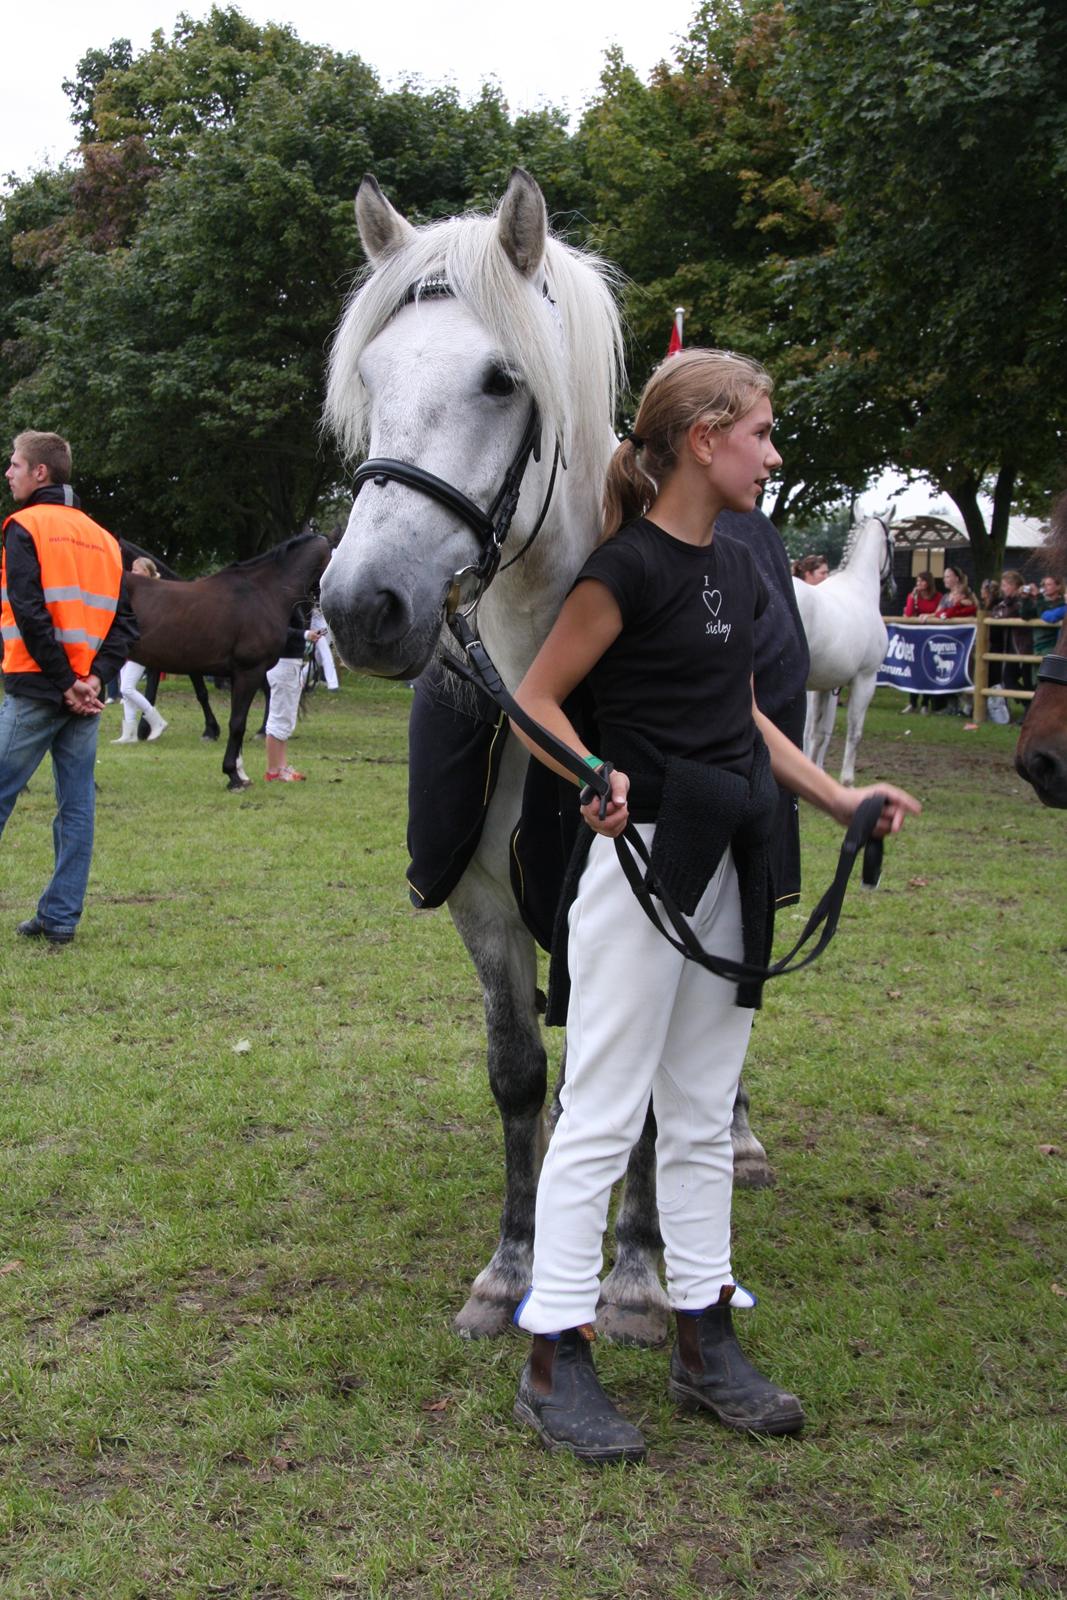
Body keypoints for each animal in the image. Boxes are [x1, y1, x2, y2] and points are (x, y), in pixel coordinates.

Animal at [127, 533, 330, 789]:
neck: (264, 593)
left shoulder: (237, 674)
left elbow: (237, 721)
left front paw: (239, 772)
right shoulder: (249, 671)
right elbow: (237, 723)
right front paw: (233, 775)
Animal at [320, 170, 804, 1343]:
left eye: (501, 379)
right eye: (369, 375)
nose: (361, 608)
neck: (545, 687)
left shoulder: (660, 896)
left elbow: (644, 1090)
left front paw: (630, 1275)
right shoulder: (482, 903)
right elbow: (518, 1071)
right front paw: (513, 1266)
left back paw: (736, 1138)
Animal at [794, 515, 893, 785]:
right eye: (893, 540)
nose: (892, 587)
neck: (860, 587)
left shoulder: (823, 686)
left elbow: (817, 734)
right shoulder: (865, 679)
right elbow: (854, 733)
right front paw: (847, 782)